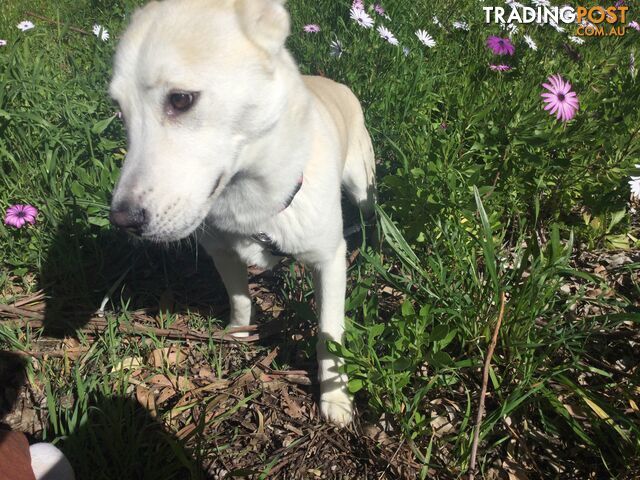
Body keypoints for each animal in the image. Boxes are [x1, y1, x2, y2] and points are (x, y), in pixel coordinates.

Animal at [109, 0, 376, 424]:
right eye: (118, 110)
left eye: (181, 99)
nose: (122, 221)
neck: (251, 201)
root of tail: (334, 84)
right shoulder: (222, 253)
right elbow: (239, 297)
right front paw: (237, 333)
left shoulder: (329, 261)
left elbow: (328, 334)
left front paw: (336, 398)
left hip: (361, 184)